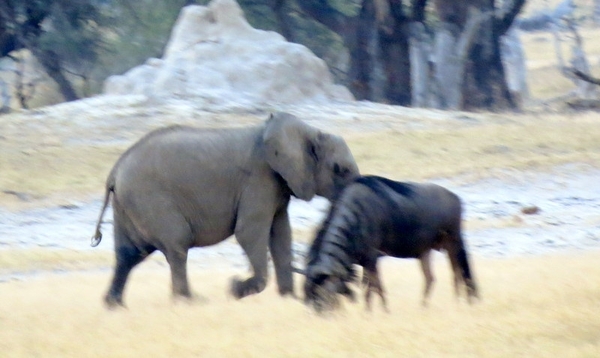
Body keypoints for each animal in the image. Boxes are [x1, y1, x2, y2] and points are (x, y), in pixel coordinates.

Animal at [91, 112, 358, 308]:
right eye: (339, 169)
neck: (310, 131)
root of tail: (115, 171)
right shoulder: (259, 180)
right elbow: (249, 232)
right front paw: (235, 289)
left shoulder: (279, 186)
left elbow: (281, 234)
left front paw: (289, 300)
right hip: (150, 200)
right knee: (176, 246)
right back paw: (189, 302)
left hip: (128, 205)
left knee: (128, 254)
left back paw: (114, 306)